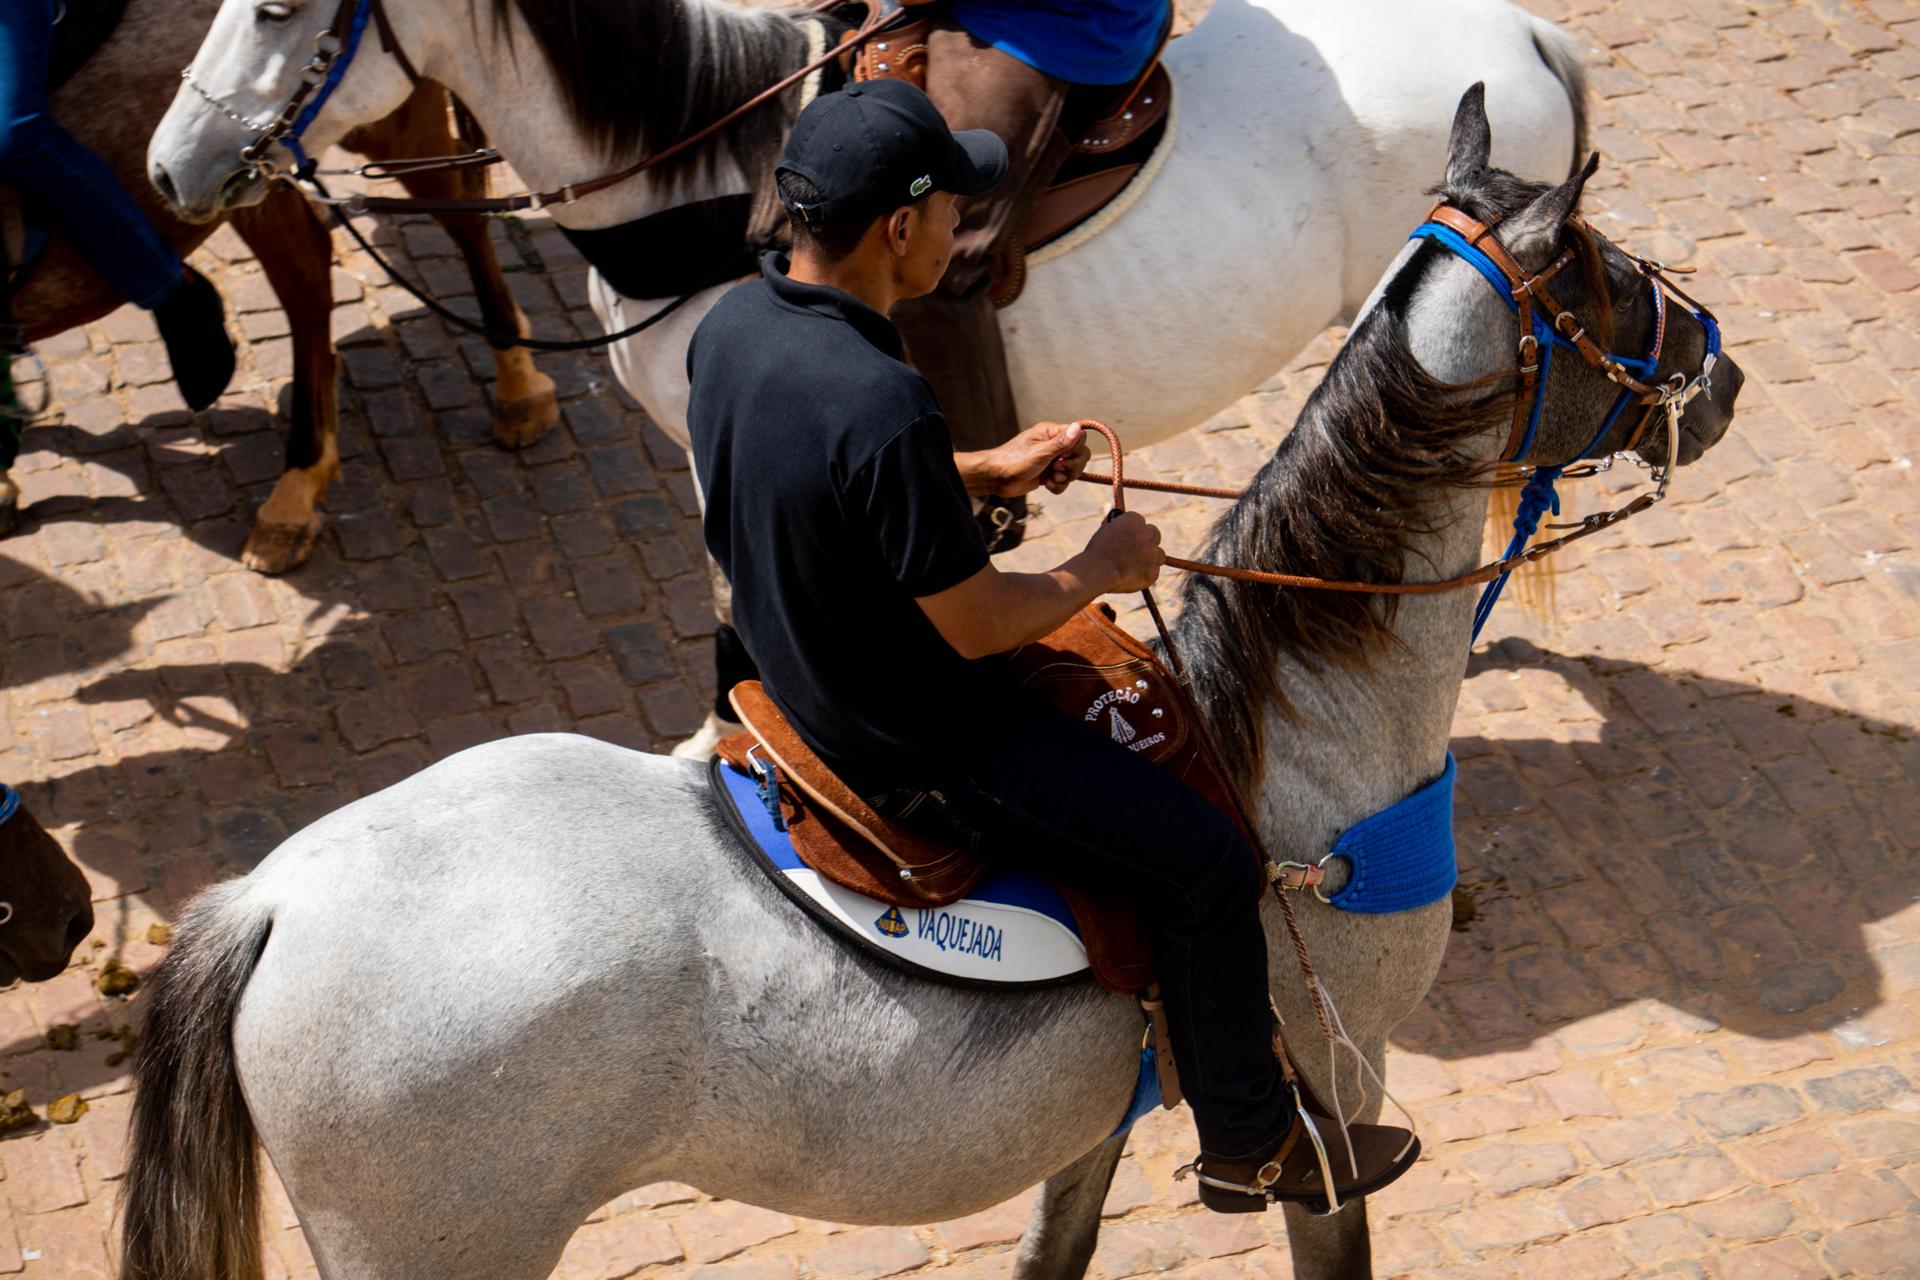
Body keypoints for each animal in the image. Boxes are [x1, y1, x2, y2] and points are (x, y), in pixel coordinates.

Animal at [2, 0, 558, 573]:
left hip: (372, 131)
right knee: (314, 269)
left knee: (448, 223)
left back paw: (513, 389)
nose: (164, 172)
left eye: (276, 12)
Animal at [122, 79, 1744, 1279]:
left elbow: (1057, 1251)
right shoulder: (1335, 1099)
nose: (1719, 367)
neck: (1295, 743)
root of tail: (268, 904)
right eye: (1606, 273)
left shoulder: (1122, 1102)